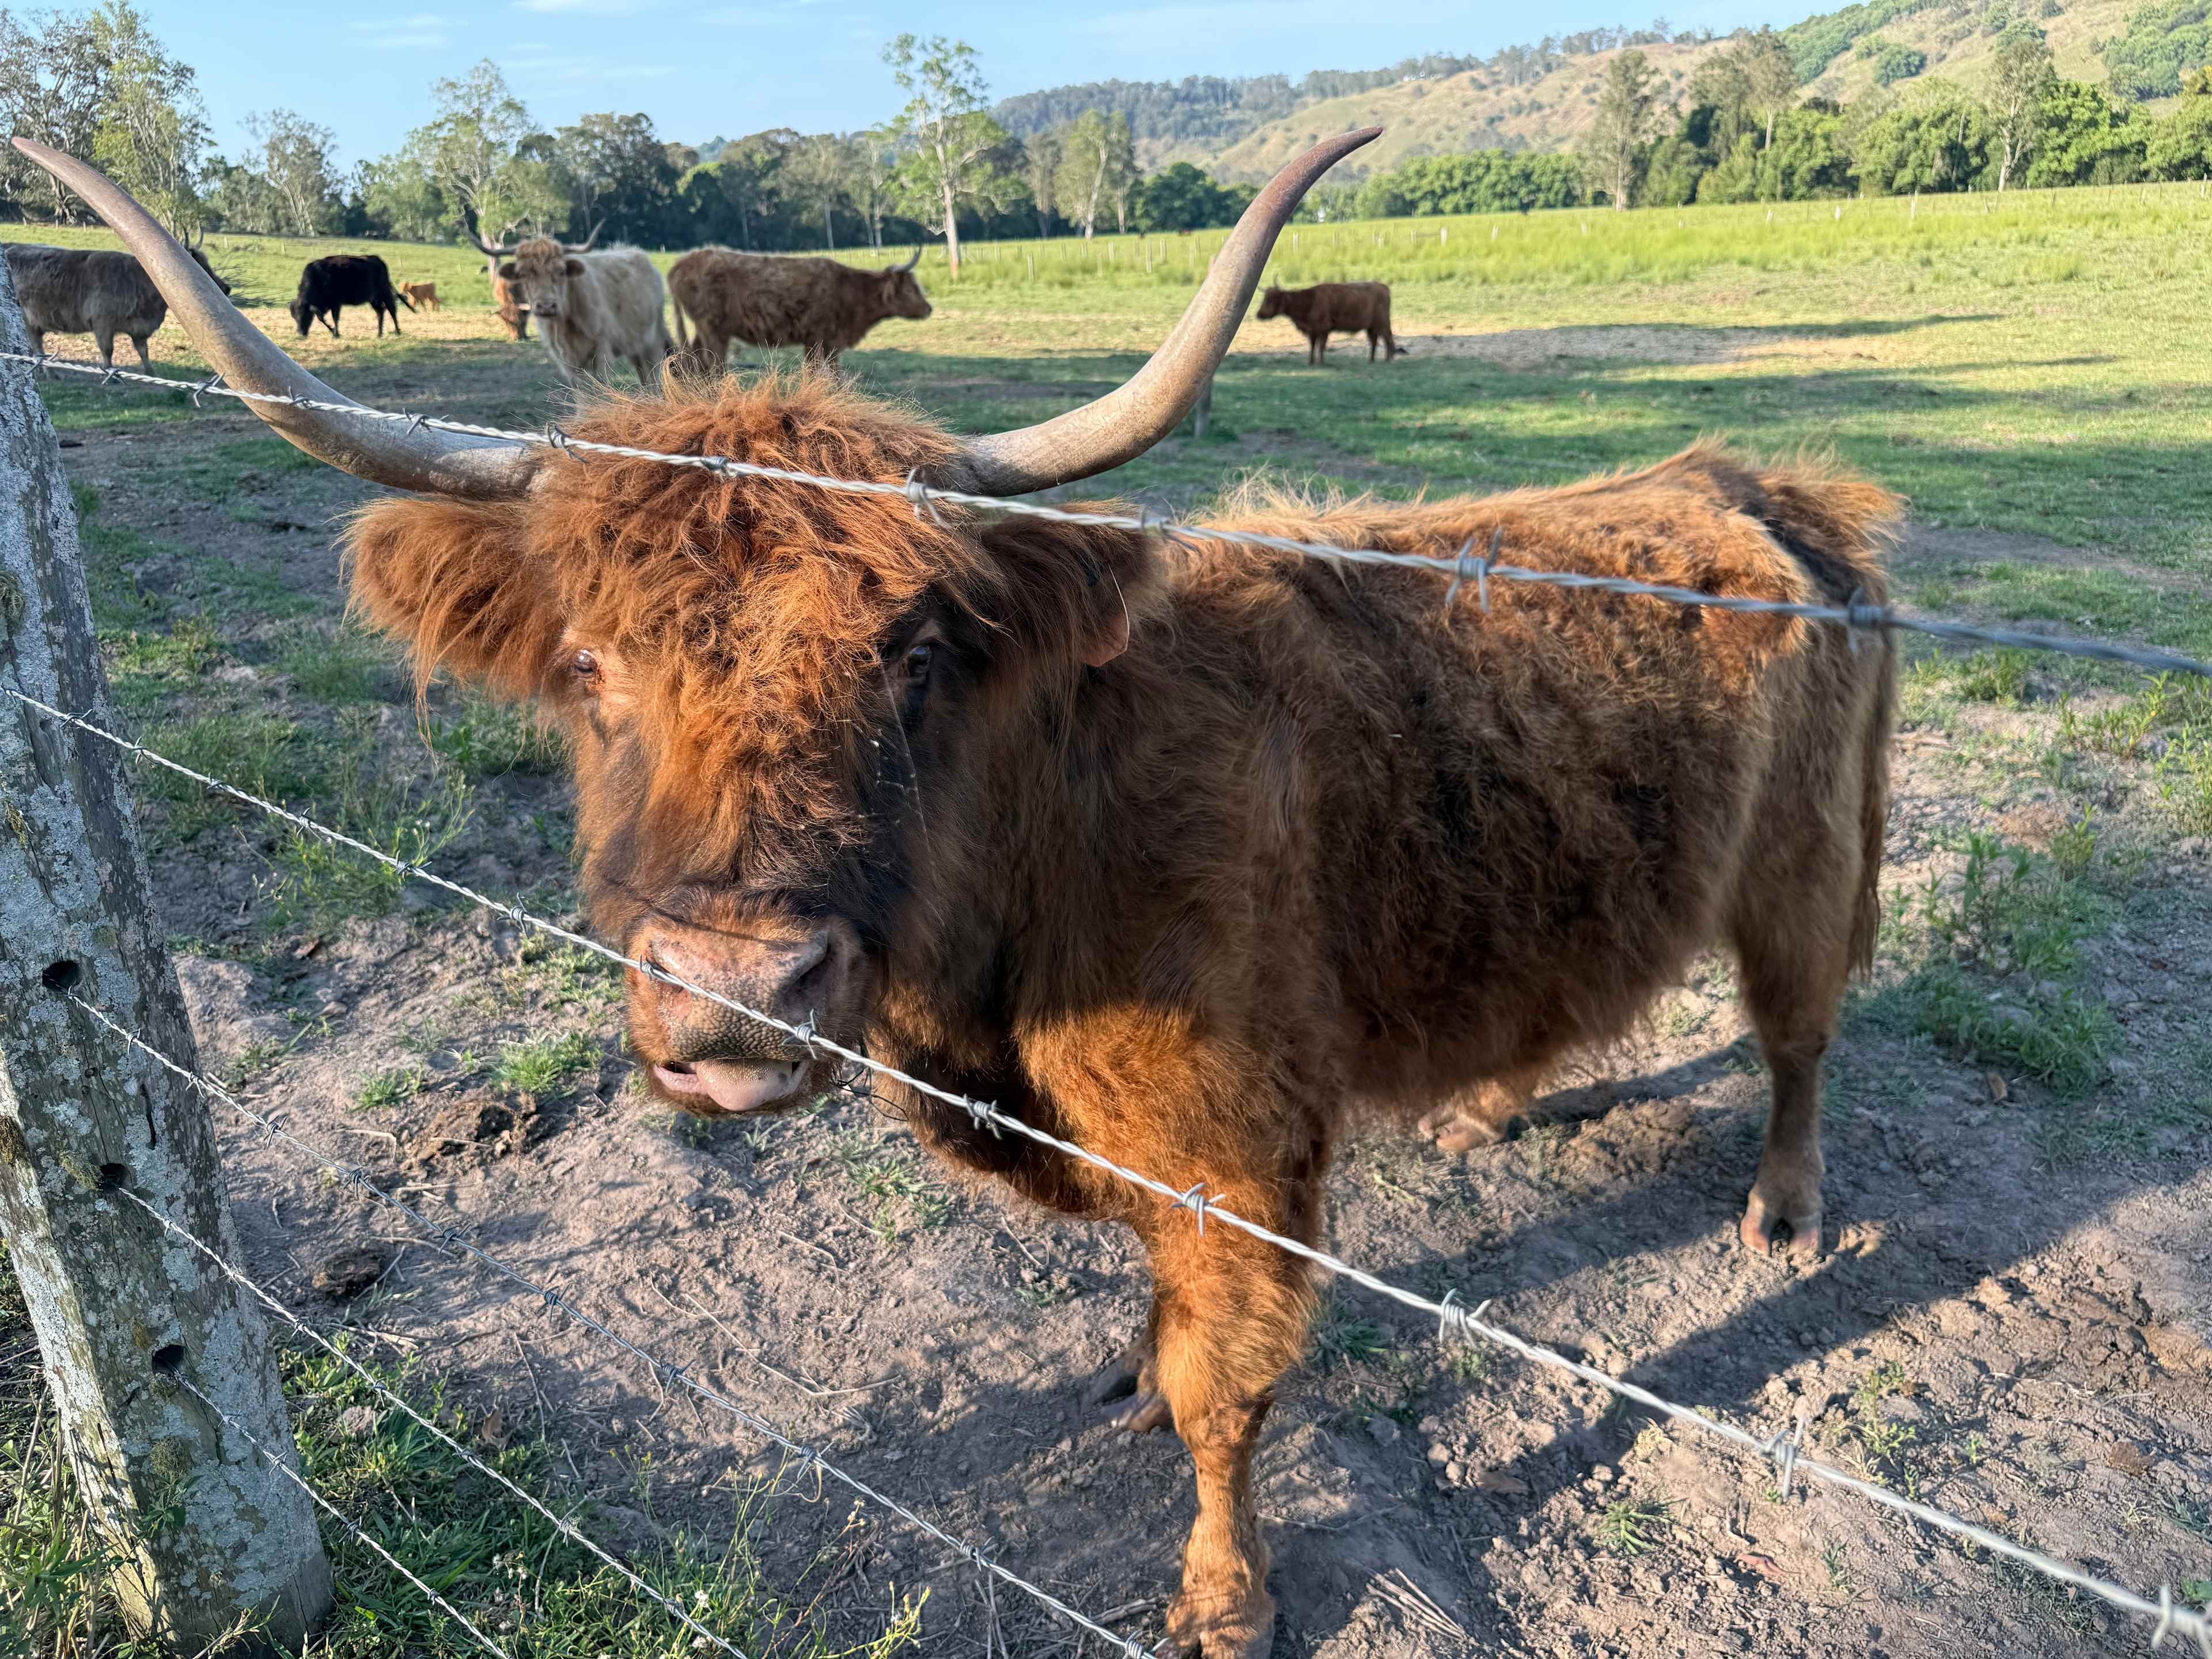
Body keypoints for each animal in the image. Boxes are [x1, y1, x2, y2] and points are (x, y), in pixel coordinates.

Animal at [2, 237, 231, 369]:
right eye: (198, 267)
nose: (227, 288)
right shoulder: (102, 322)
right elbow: (108, 351)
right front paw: (110, 374)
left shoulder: (139, 329)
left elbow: (144, 353)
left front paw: (150, 372)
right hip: (28, 320)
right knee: (36, 348)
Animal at [289, 253, 412, 339]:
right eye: (294, 317)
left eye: (304, 315)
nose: (300, 333)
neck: (318, 277)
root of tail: (378, 260)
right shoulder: (326, 306)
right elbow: (322, 318)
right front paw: (333, 331)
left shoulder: (336, 303)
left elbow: (334, 318)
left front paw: (336, 334)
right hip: (374, 299)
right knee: (380, 312)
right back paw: (379, 334)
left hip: (384, 293)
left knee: (392, 310)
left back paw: (397, 332)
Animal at [473, 228, 671, 389]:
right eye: (523, 274)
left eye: (561, 271)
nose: (546, 306)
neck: (565, 325)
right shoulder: (565, 359)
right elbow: (581, 394)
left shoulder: (602, 350)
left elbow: (603, 387)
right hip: (633, 346)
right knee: (643, 377)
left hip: (651, 343)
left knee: (653, 378)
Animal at [668, 246, 930, 372]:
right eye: (911, 288)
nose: (929, 308)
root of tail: (683, 262)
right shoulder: (815, 338)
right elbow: (816, 373)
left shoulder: (831, 343)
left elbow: (834, 374)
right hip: (713, 329)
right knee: (713, 365)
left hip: (706, 330)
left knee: (695, 360)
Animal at [1255, 281, 1397, 365]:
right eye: (1265, 298)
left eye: (1272, 299)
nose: (1259, 314)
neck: (1309, 301)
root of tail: (1384, 287)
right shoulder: (1312, 331)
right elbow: (1313, 346)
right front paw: (1311, 362)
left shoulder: (1323, 329)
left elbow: (1321, 346)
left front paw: (1320, 362)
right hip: (1371, 327)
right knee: (1375, 341)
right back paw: (1371, 360)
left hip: (1382, 323)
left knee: (1388, 338)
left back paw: (1388, 360)